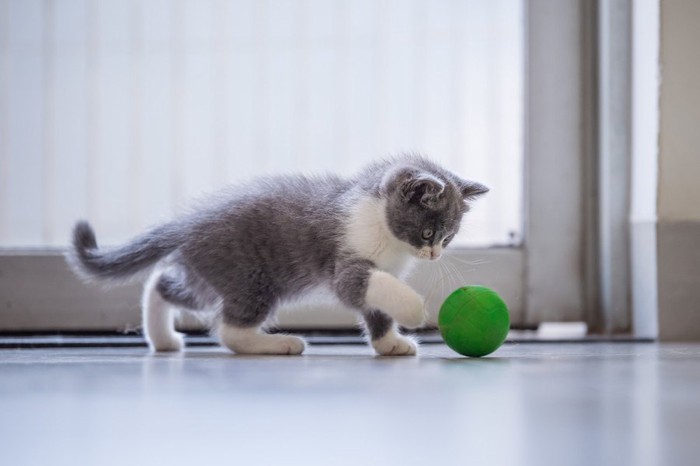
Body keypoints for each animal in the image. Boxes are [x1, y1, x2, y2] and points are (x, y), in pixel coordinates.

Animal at [67, 155, 486, 354]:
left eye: (448, 238)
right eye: (428, 232)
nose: (433, 254)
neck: (381, 223)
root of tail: (187, 224)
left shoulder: (381, 271)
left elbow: (376, 306)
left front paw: (389, 343)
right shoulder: (347, 263)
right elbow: (363, 288)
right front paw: (414, 310)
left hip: (209, 276)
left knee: (163, 284)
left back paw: (163, 339)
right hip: (251, 278)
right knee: (229, 330)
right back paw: (278, 343)